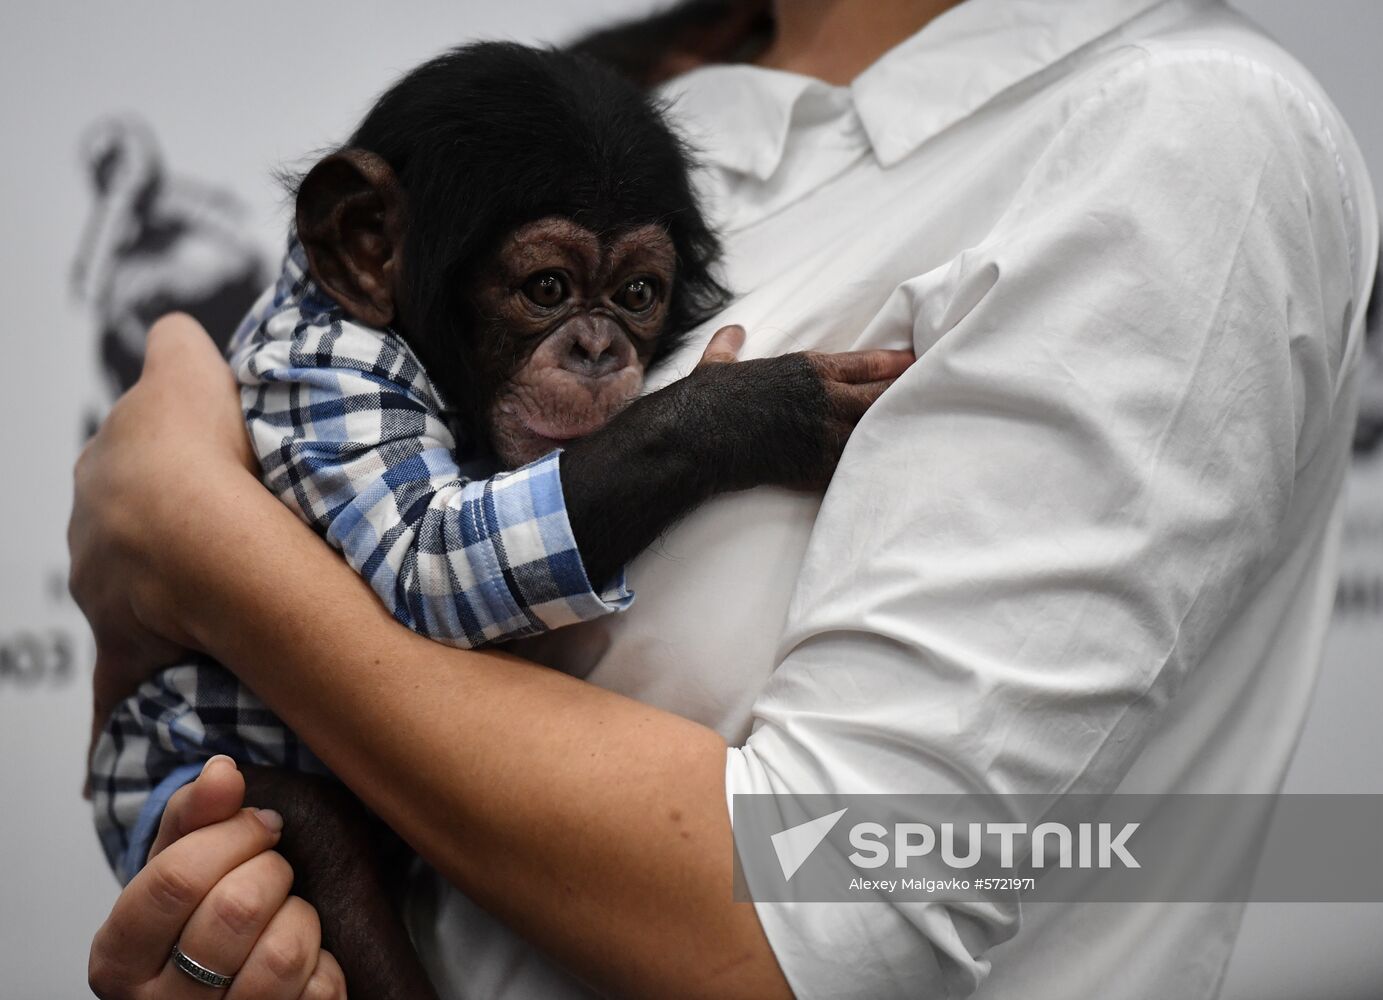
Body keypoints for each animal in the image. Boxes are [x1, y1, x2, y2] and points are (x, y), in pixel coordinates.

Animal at [86, 41, 907, 1000]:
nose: (597, 348)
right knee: (307, 825)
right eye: (546, 287)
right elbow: (429, 556)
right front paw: (758, 407)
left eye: (636, 293)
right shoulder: (328, 365)